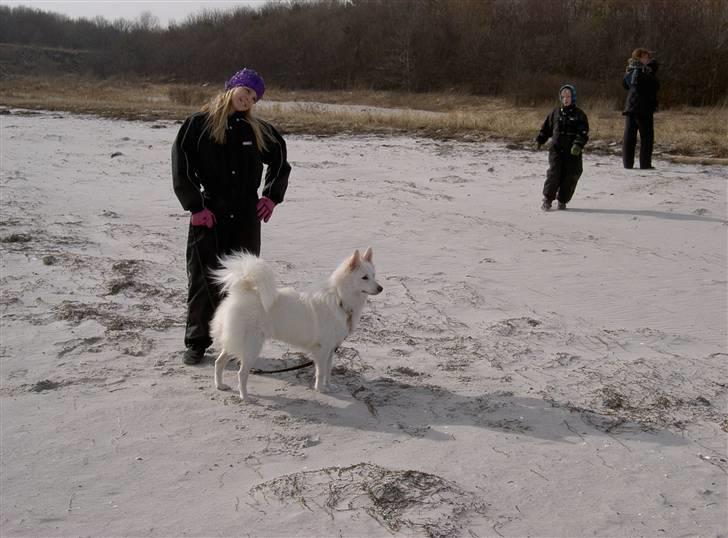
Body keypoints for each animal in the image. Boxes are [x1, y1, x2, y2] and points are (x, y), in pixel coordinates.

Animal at [209, 247, 382, 398]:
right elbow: (321, 372)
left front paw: (329, 386)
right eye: (364, 277)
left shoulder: (330, 349)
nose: (381, 288)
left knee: (219, 362)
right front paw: (321, 390)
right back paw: (245, 397)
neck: (340, 299)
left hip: (234, 342)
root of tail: (243, 292)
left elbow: (328, 370)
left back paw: (220, 385)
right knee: (241, 373)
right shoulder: (322, 349)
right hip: (252, 347)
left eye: (374, 275)